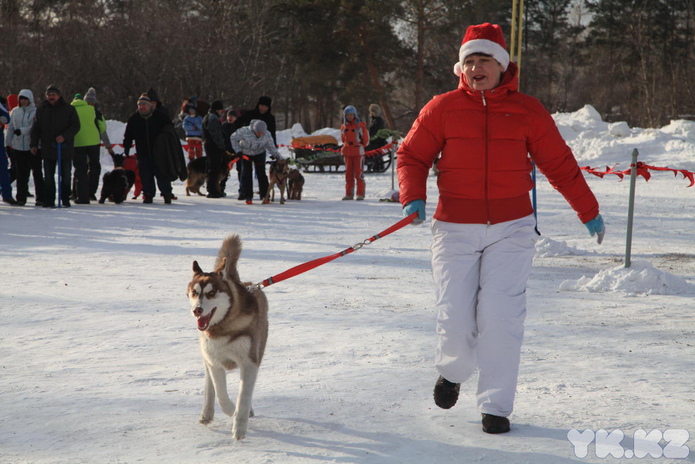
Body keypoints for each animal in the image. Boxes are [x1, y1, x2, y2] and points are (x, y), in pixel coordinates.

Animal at [188, 237, 270, 440]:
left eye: (211, 293)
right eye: (194, 292)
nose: (197, 310)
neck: (223, 327)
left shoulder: (249, 363)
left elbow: (244, 397)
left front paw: (239, 426)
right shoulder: (214, 362)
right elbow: (220, 394)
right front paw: (231, 410)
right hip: (207, 356)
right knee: (209, 386)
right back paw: (206, 413)